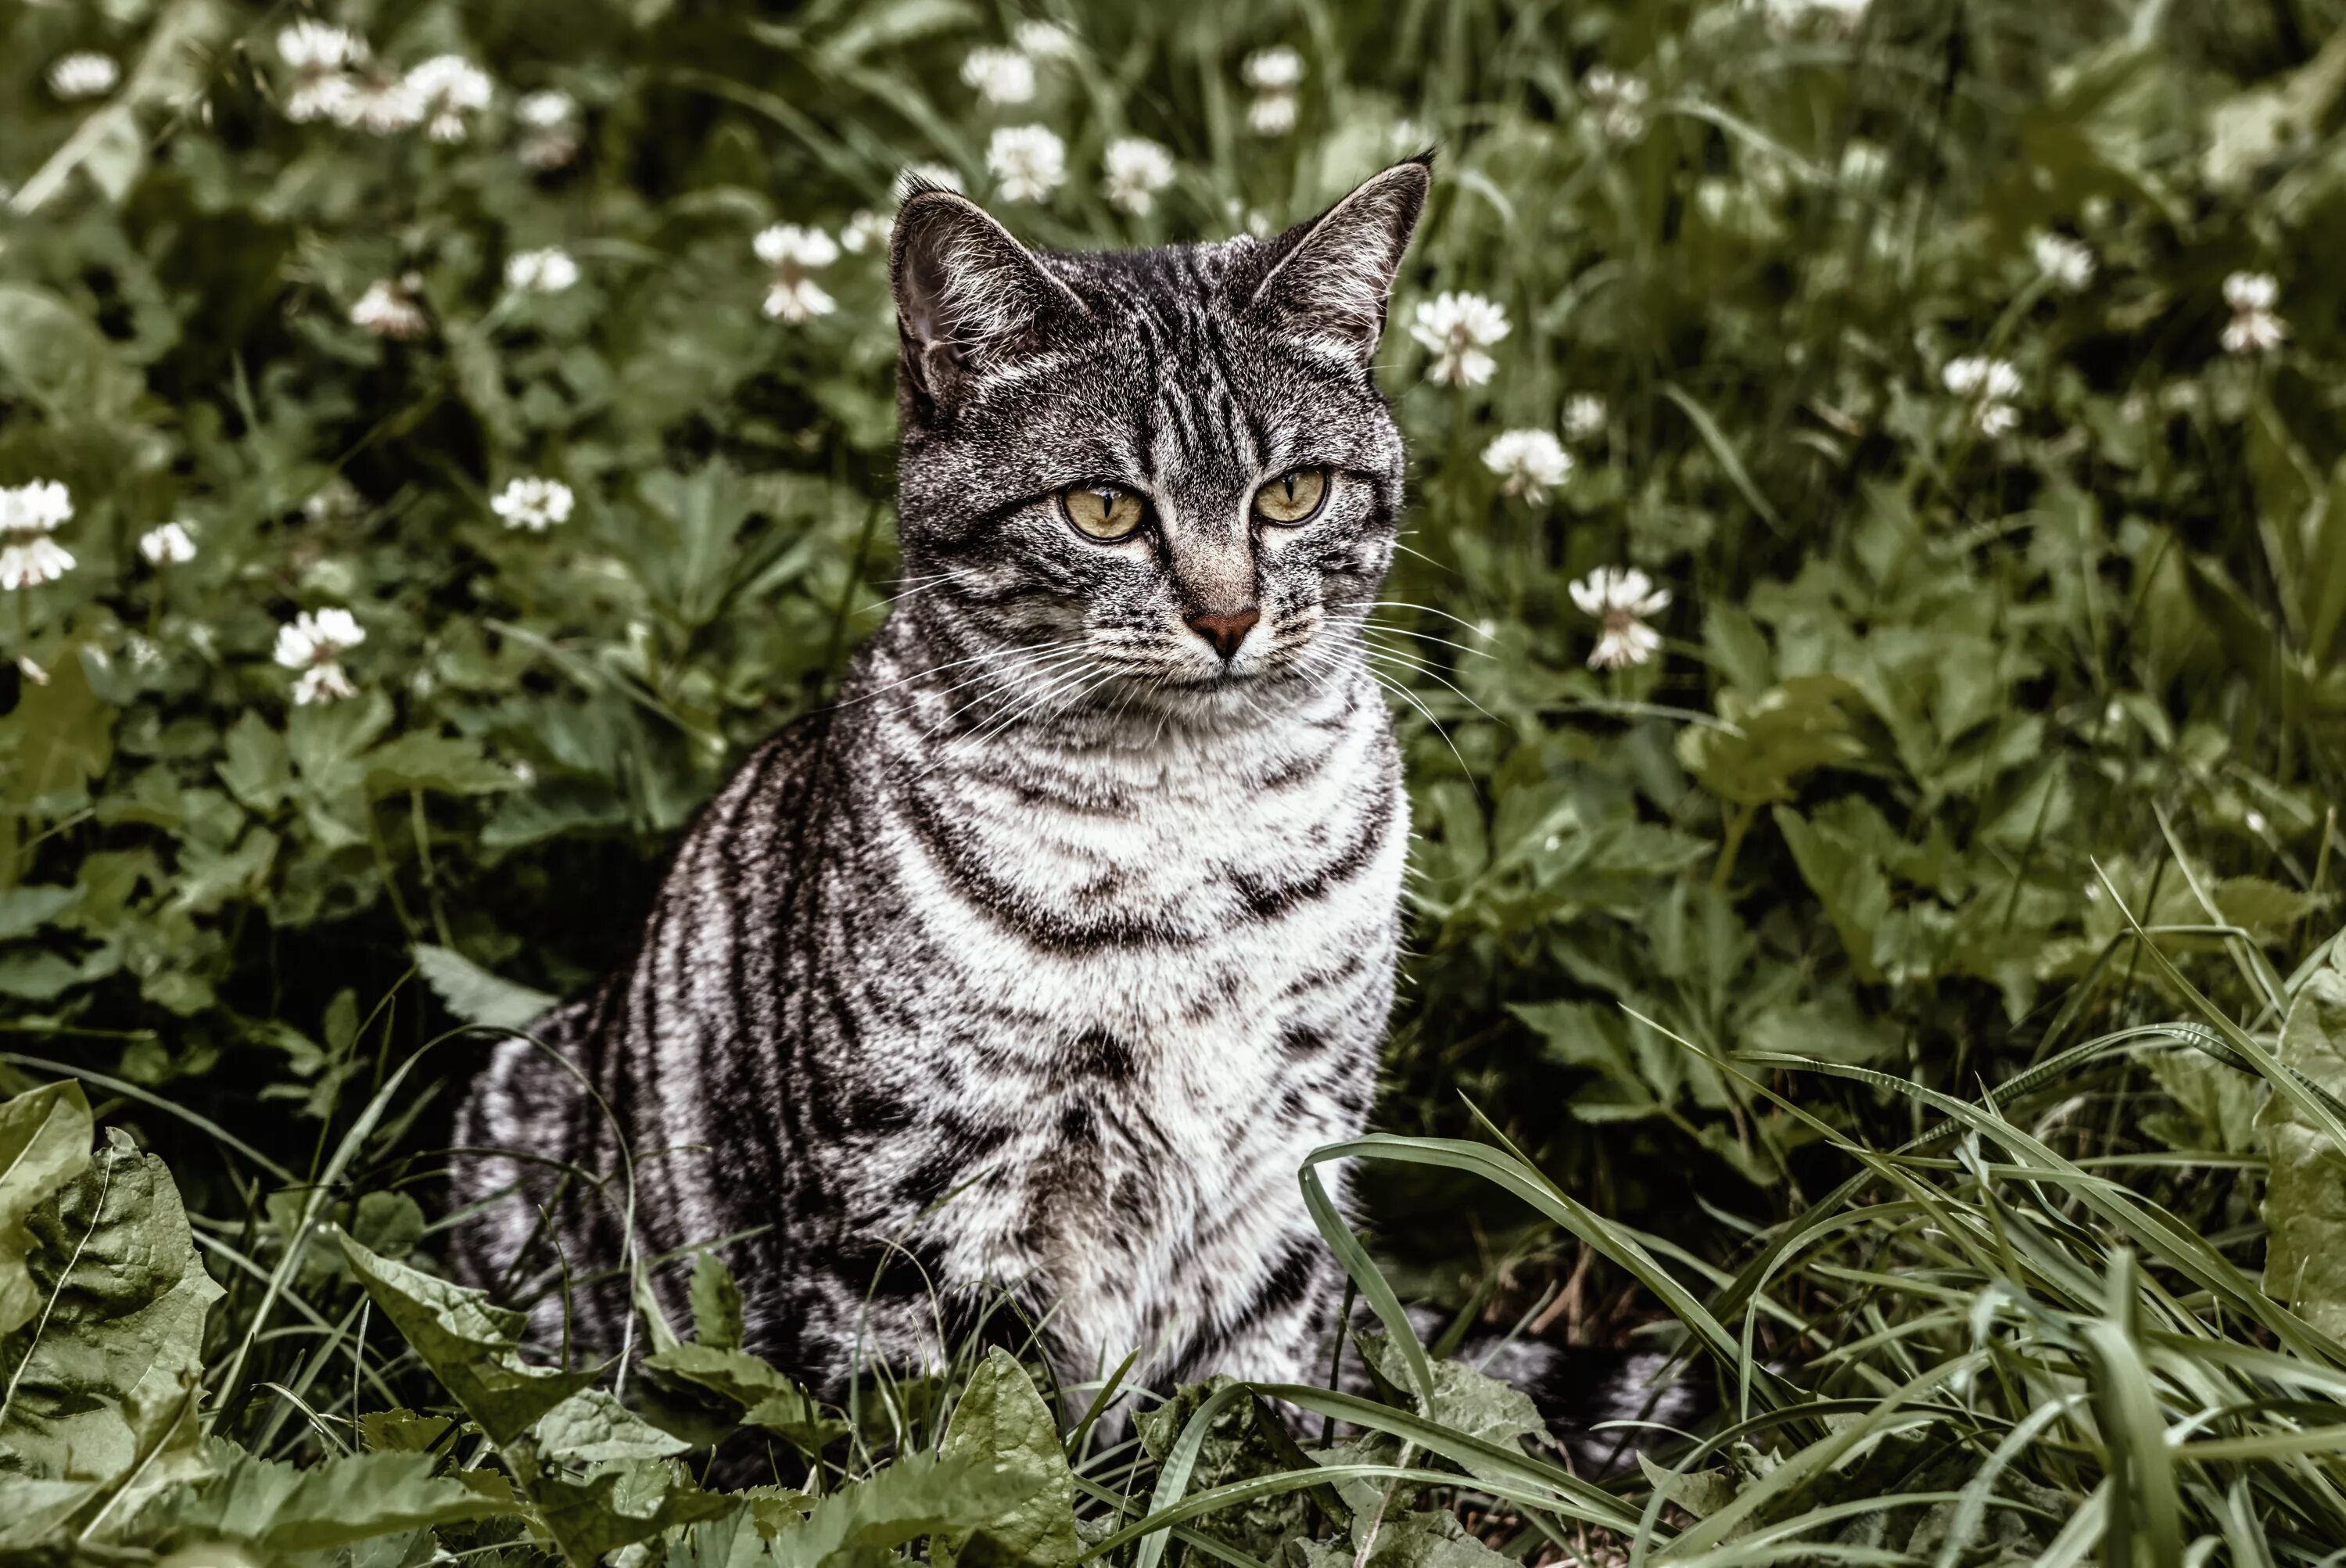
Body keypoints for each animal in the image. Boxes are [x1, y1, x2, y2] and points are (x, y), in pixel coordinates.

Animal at [448, 156, 1699, 1455]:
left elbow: (1250, 1424)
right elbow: (963, 1434)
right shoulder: (917, 1209)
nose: (1228, 616)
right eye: (1104, 509)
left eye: (1294, 494)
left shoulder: (1287, 1177)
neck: (1195, 820)